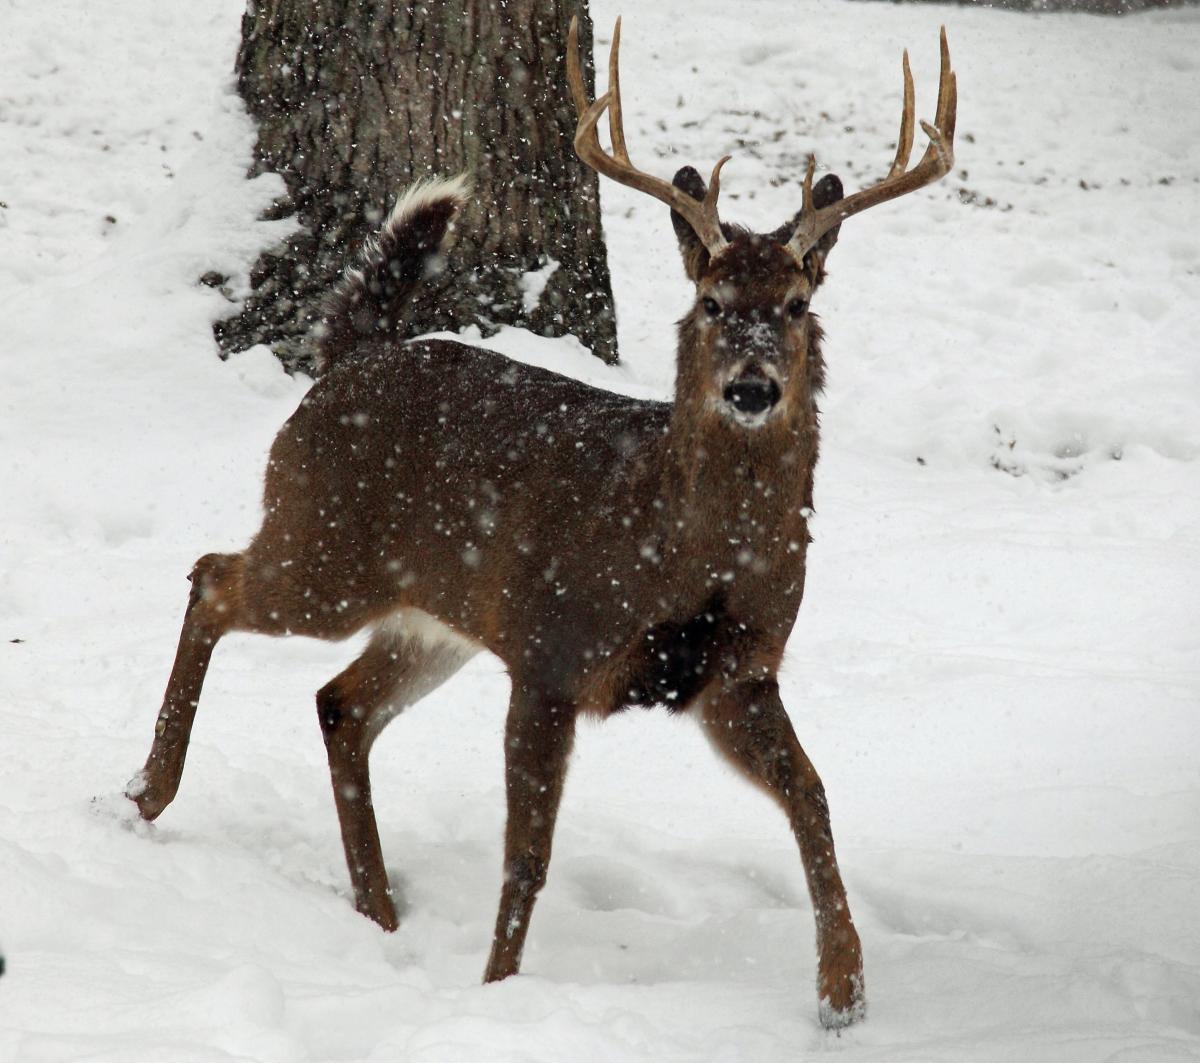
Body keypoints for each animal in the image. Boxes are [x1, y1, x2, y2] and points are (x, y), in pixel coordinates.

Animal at [129, 18, 955, 1031]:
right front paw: (497, 993)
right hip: (324, 548)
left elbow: (815, 796)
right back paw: (149, 792)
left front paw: (844, 991)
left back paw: (380, 910)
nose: (753, 387)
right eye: (712, 303)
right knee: (211, 575)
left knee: (339, 702)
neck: (679, 549)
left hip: (435, 615)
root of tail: (346, 360)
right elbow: (528, 853)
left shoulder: (737, 672)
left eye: (798, 307)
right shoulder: (553, 649)